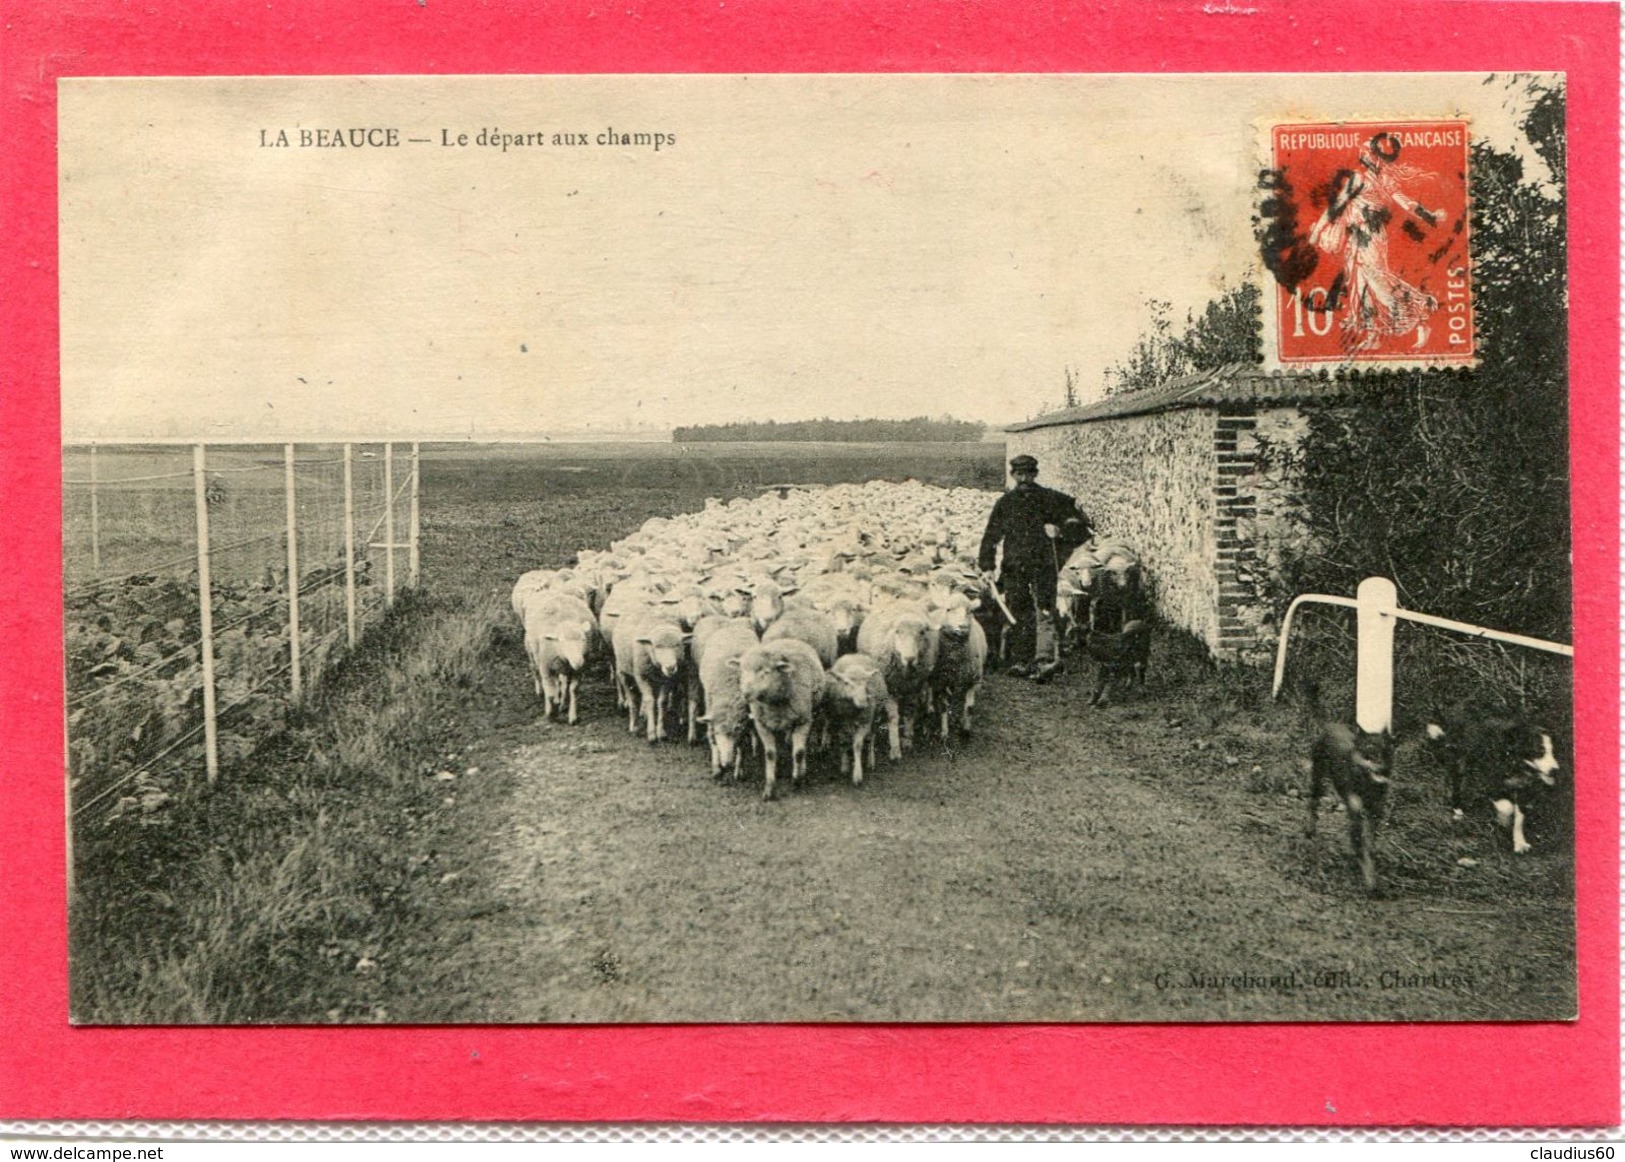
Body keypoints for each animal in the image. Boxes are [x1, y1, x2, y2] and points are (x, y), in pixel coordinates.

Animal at [744, 637, 832, 799]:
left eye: (766, 672)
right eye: (742, 671)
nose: (746, 693)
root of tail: (788, 638)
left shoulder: (803, 721)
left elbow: (799, 752)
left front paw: (797, 780)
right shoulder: (762, 724)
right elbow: (770, 754)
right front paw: (770, 788)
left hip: (812, 710)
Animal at [851, 601, 942, 763]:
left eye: (922, 632)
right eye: (898, 631)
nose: (910, 658)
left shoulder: (914, 686)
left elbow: (910, 710)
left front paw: (907, 739)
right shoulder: (889, 688)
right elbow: (893, 717)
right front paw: (895, 749)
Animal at [1423, 705, 1560, 858]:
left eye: (1554, 751)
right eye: (1539, 751)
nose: (1555, 770)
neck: (1514, 760)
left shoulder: (1523, 787)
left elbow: (1519, 818)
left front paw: (1519, 843)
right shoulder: (1491, 779)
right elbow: (1506, 807)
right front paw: (1503, 821)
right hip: (1460, 762)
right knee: (1457, 784)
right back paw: (1458, 810)